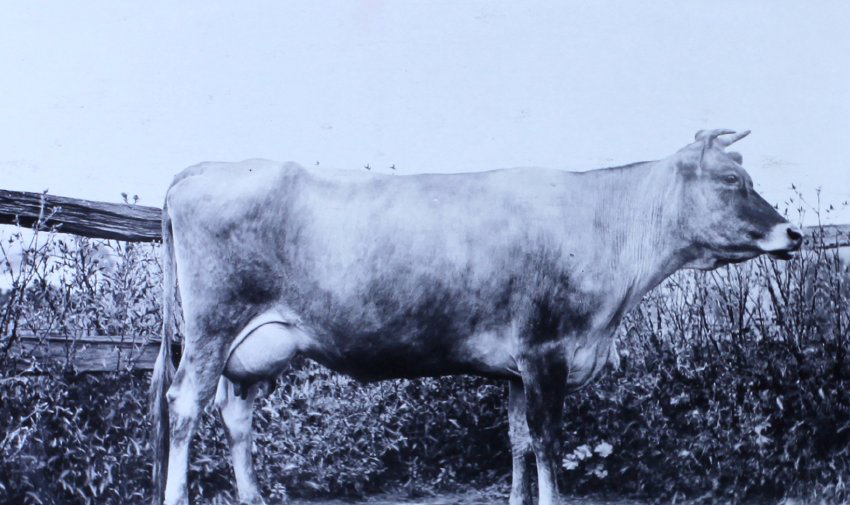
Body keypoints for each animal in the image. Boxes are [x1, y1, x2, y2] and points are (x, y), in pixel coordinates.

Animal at [150, 129, 803, 505]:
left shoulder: (515, 368)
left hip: (255, 350)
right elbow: (547, 443)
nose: (792, 233)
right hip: (213, 329)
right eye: (731, 179)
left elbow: (517, 442)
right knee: (184, 405)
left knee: (235, 416)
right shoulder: (546, 353)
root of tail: (199, 170)